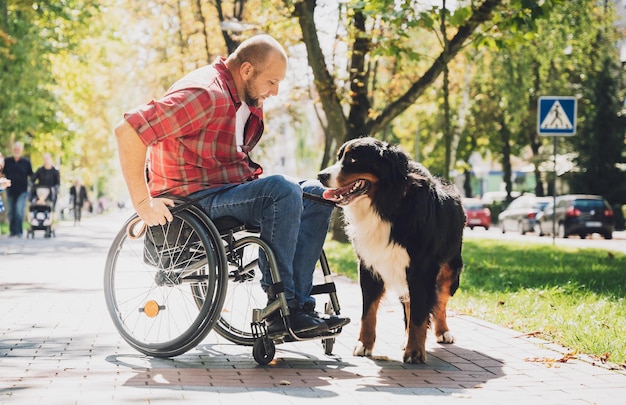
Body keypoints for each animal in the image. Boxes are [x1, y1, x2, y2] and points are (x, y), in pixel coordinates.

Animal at [316, 137, 464, 362]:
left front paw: (415, 351)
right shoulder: (369, 265)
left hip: (450, 270)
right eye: (339, 157)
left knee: (440, 301)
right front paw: (364, 345)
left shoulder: (422, 269)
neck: (385, 205)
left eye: (353, 159)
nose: (321, 175)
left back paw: (443, 332)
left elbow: (420, 315)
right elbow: (368, 311)